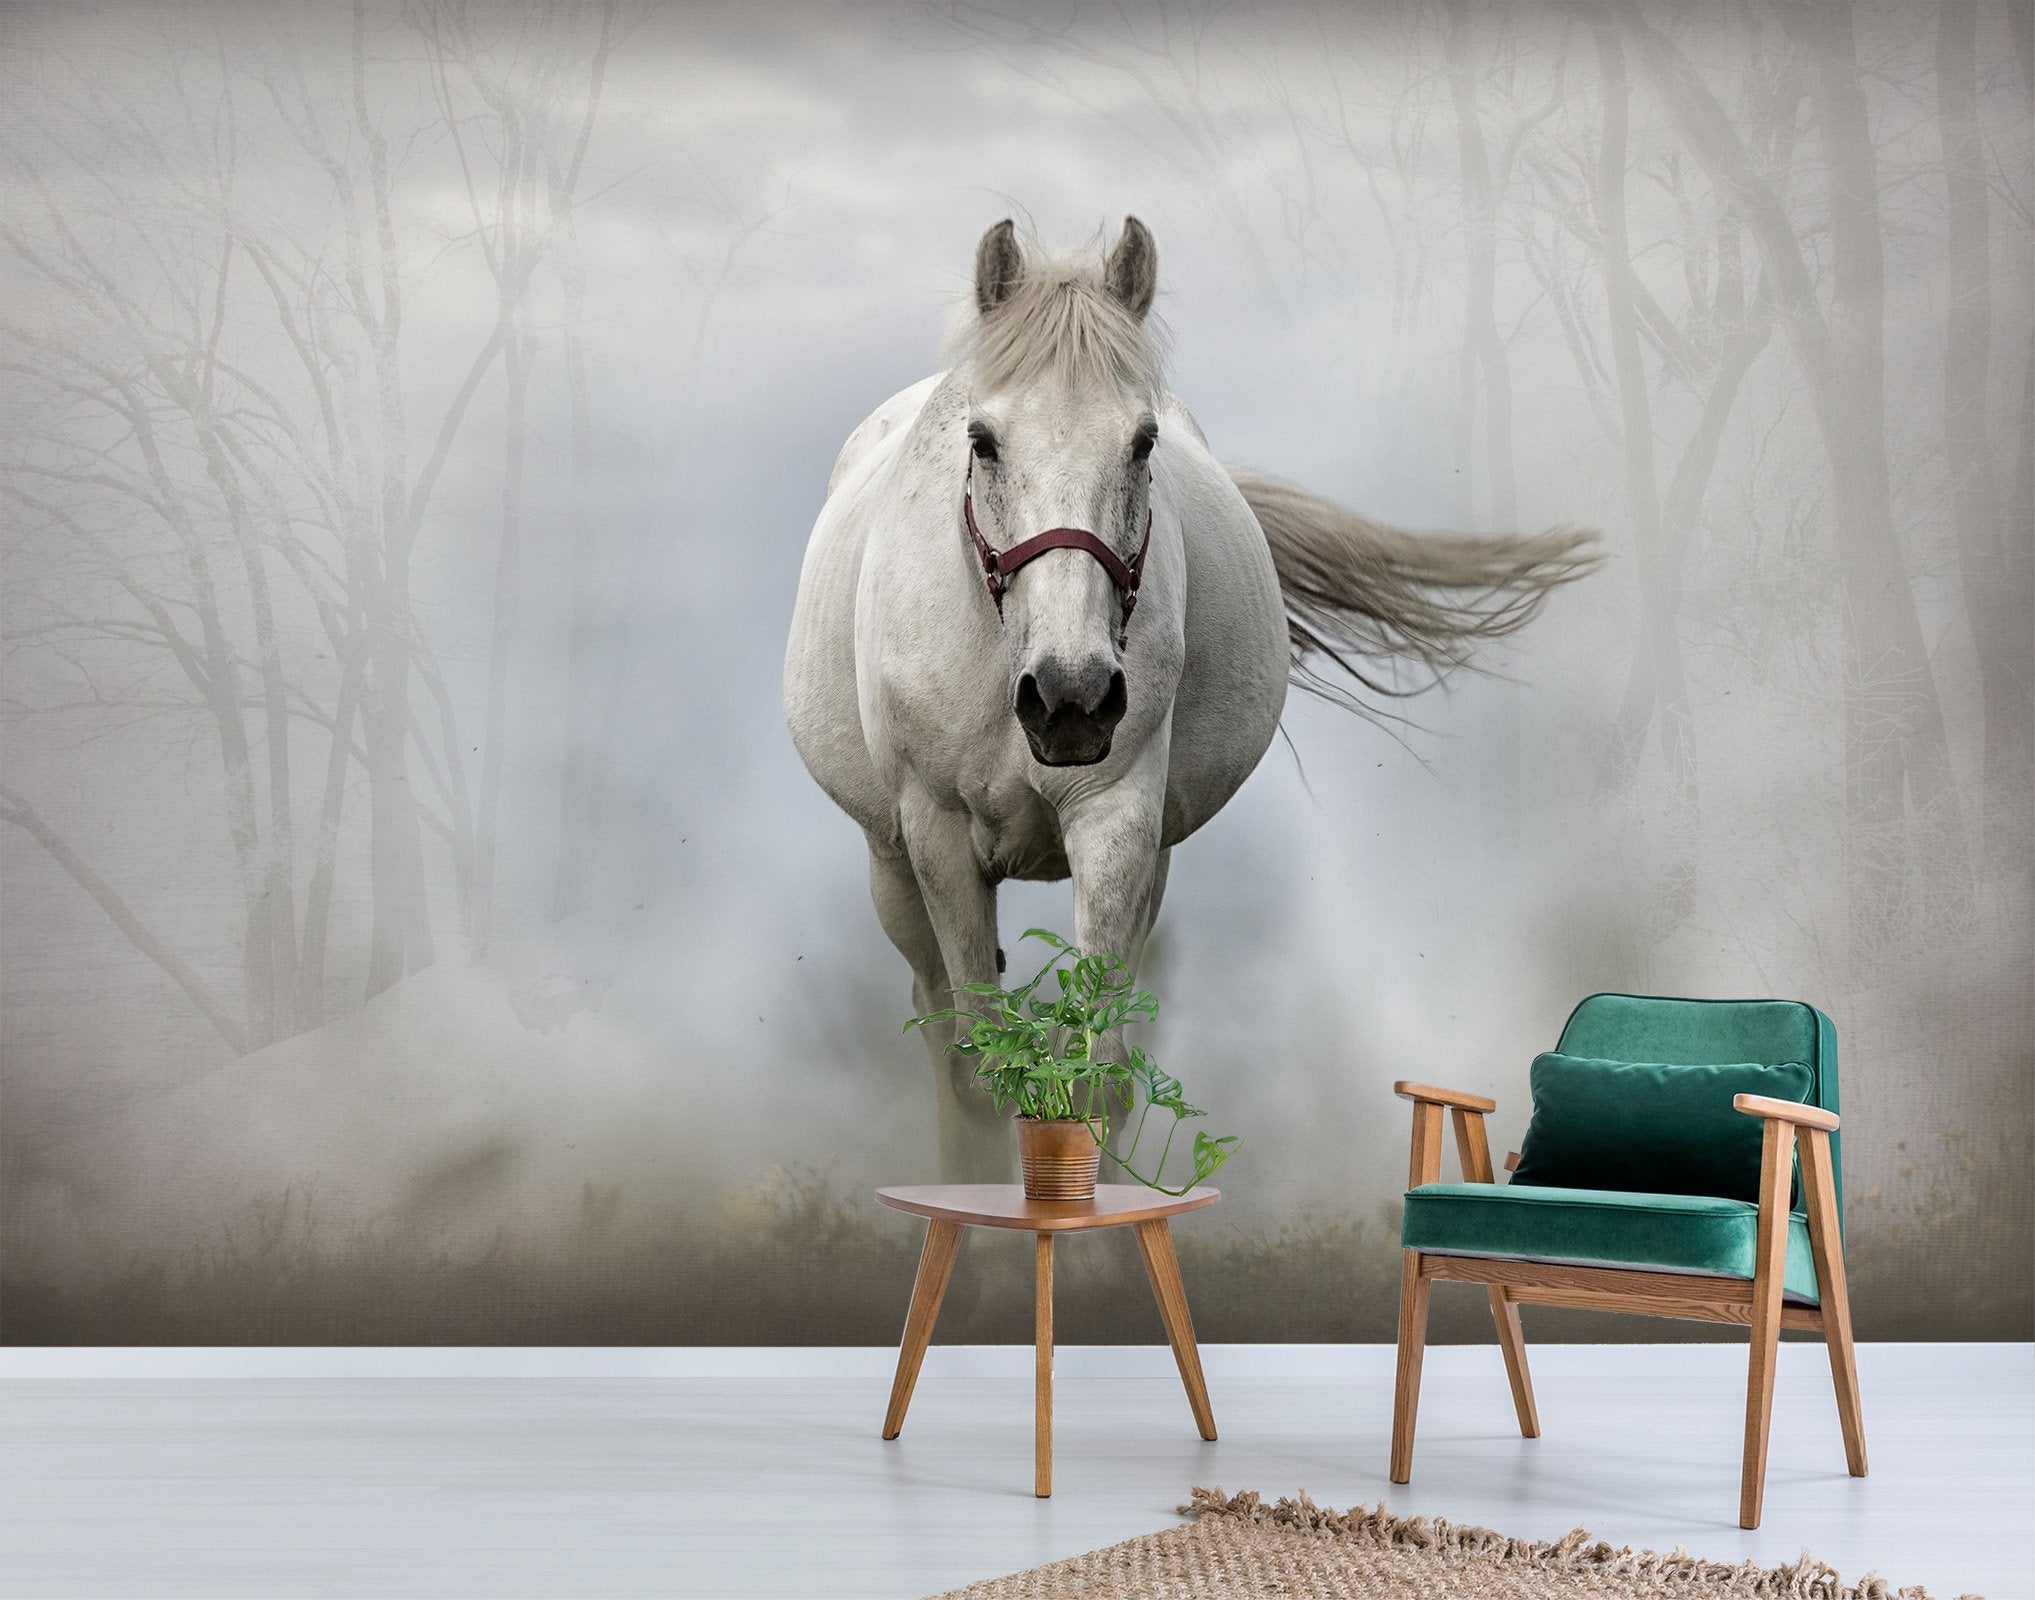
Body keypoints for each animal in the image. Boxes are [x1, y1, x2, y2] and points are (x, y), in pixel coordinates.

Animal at [783, 217, 1596, 1181]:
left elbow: (1095, 1080)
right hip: (891, 864)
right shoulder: (938, 838)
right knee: (937, 1027)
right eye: (982, 441)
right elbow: (980, 1077)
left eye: (1141, 444)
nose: (1070, 697)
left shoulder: (1118, 824)